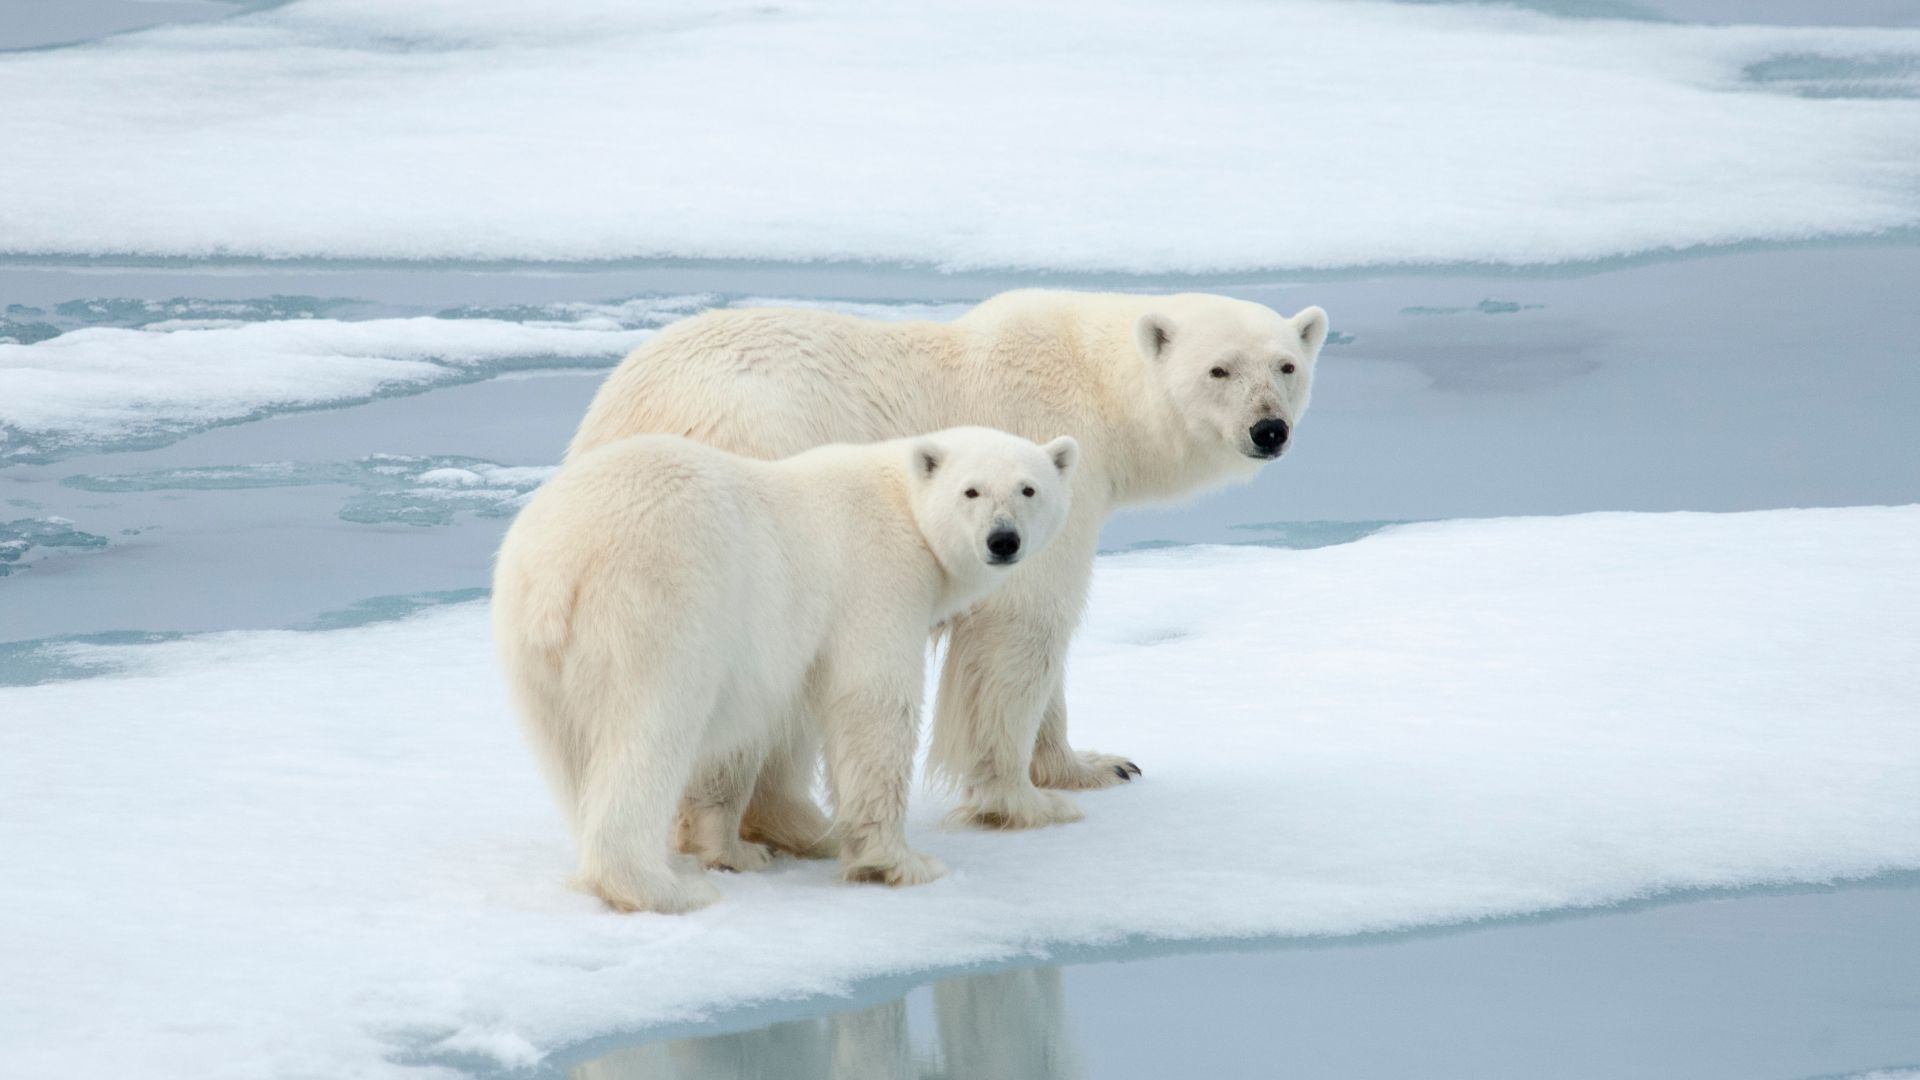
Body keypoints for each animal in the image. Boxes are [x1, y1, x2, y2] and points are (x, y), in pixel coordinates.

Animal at [493, 425, 1079, 913]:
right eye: (971, 491)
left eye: (1028, 489)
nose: (1003, 540)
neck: (901, 502)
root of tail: (559, 566)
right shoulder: (877, 579)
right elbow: (873, 704)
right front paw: (899, 862)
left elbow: (758, 732)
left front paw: (740, 849)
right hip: (655, 607)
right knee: (650, 732)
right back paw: (664, 889)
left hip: (529, 644)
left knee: (569, 756)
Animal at [569, 289, 1329, 832]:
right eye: (1219, 368)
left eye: (1287, 365)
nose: (1269, 429)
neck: (1096, 385)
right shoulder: (1033, 456)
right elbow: (1023, 624)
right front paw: (1021, 800)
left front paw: (1095, 765)